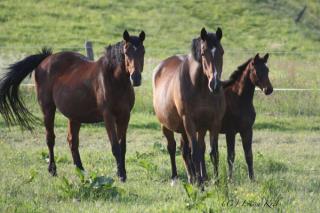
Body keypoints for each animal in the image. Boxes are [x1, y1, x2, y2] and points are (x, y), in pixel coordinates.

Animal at [0, 30, 145, 181]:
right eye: (126, 52)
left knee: (72, 141)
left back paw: (80, 170)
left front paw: (122, 173)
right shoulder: (108, 116)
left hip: (74, 115)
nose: (136, 78)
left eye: (143, 52)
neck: (114, 79)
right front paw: (121, 175)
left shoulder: (125, 116)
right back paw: (53, 170)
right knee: (50, 139)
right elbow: (115, 146)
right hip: (48, 109)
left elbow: (123, 146)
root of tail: (46, 59)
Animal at [152, 27, 225, 185]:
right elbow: (195, 152)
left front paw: (215, 180)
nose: (215, 85)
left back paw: (194, 177)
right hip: (166, 125)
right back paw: (176, 177)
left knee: (188, 149)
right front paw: (200, 182)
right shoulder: (189, 122)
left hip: (187, 129)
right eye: (203, 53)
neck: (200, 88)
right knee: (173, 148)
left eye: (222, 52)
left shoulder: (213, 123)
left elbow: (212, 152)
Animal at [200, 53, 272, 181]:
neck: (239, 99)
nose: (269, 89)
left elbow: (249, 155)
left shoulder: (247, 130)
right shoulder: (230, 132)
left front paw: (252, 179)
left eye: (267, 70)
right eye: (256, 70)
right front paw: (230, 179)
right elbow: (231, 156)